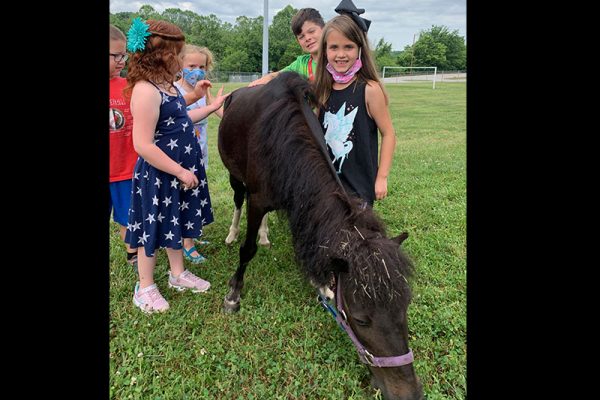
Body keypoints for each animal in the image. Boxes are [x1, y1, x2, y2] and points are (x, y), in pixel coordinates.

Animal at [218, 72, 424, 400]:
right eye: (361, 318)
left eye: (405, 306)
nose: (409, 392)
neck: (281, 138)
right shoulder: (258, 200)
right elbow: (247, 249)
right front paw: (233, 293)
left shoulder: (299, 199)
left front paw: (323, 285)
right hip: (235, 176)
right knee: (238, 200)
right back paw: (232, 233)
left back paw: (265, 235)